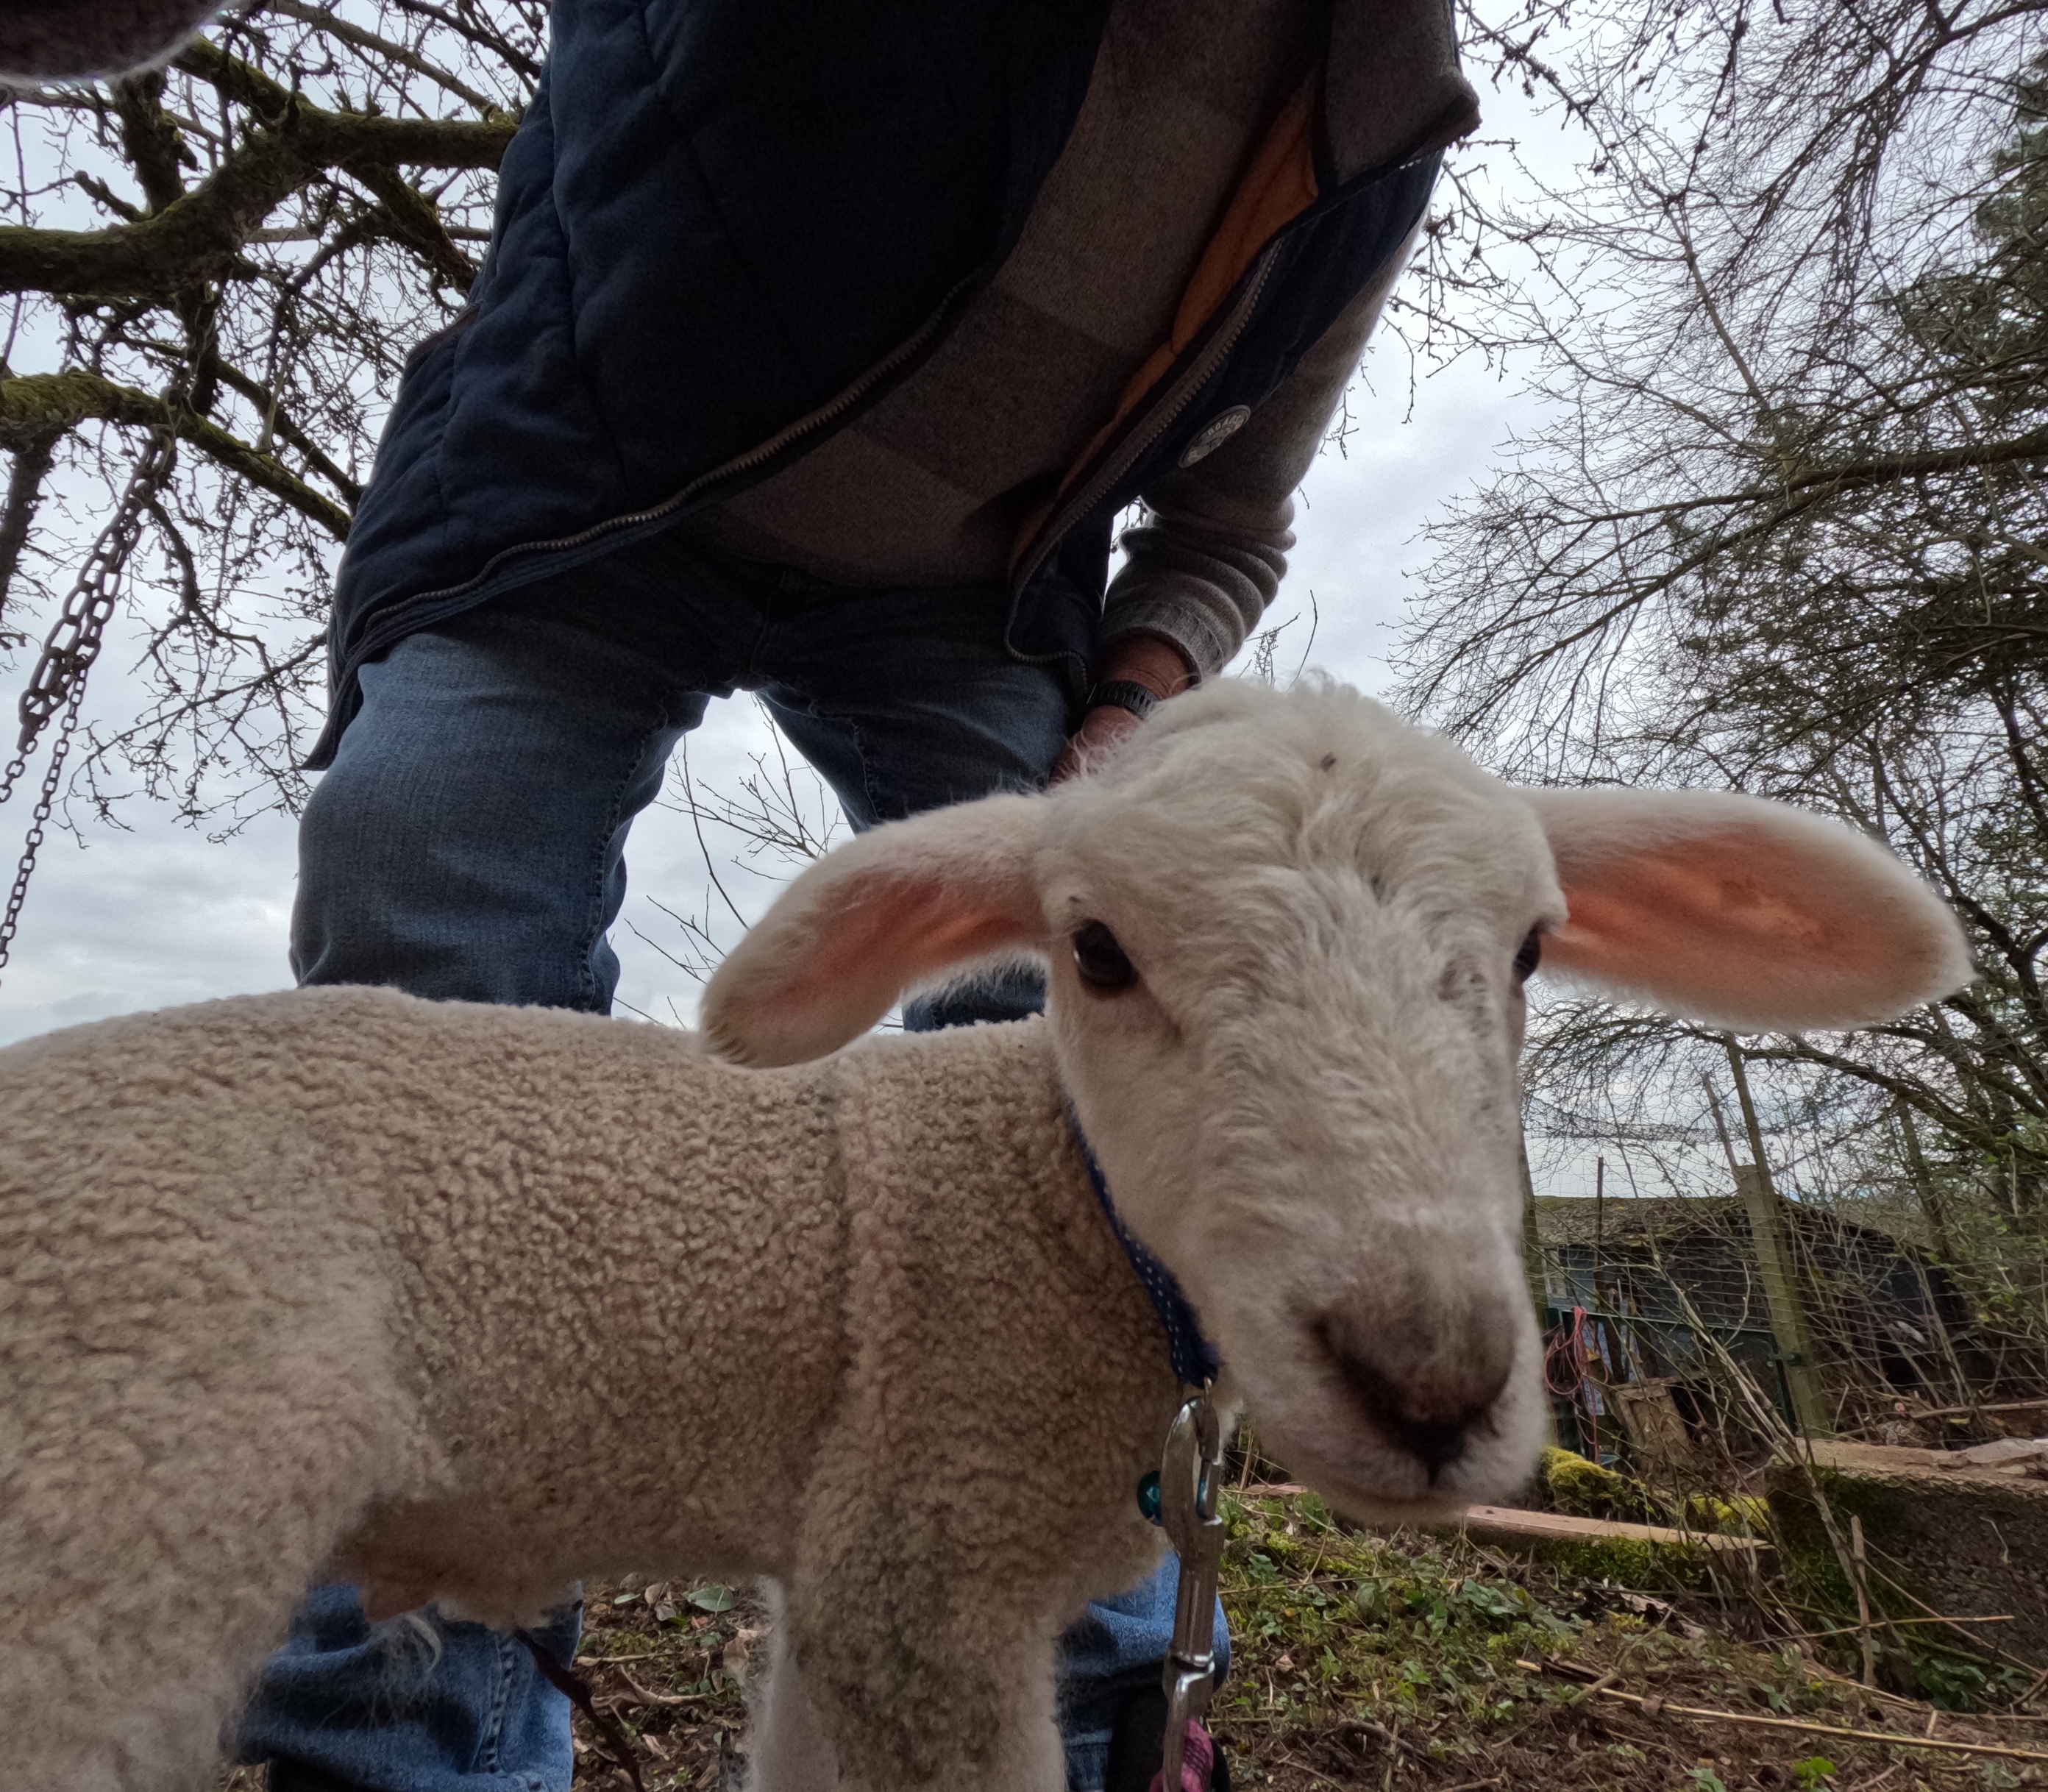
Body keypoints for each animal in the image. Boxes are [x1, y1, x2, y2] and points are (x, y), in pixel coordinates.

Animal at [0, 683, 1966, 1792]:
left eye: (1533, 951)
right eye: (1091, 950)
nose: (1427, 1382)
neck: (1056, 1216)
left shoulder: (844, 1583)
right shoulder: (922, 1558)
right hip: (113, 1515)